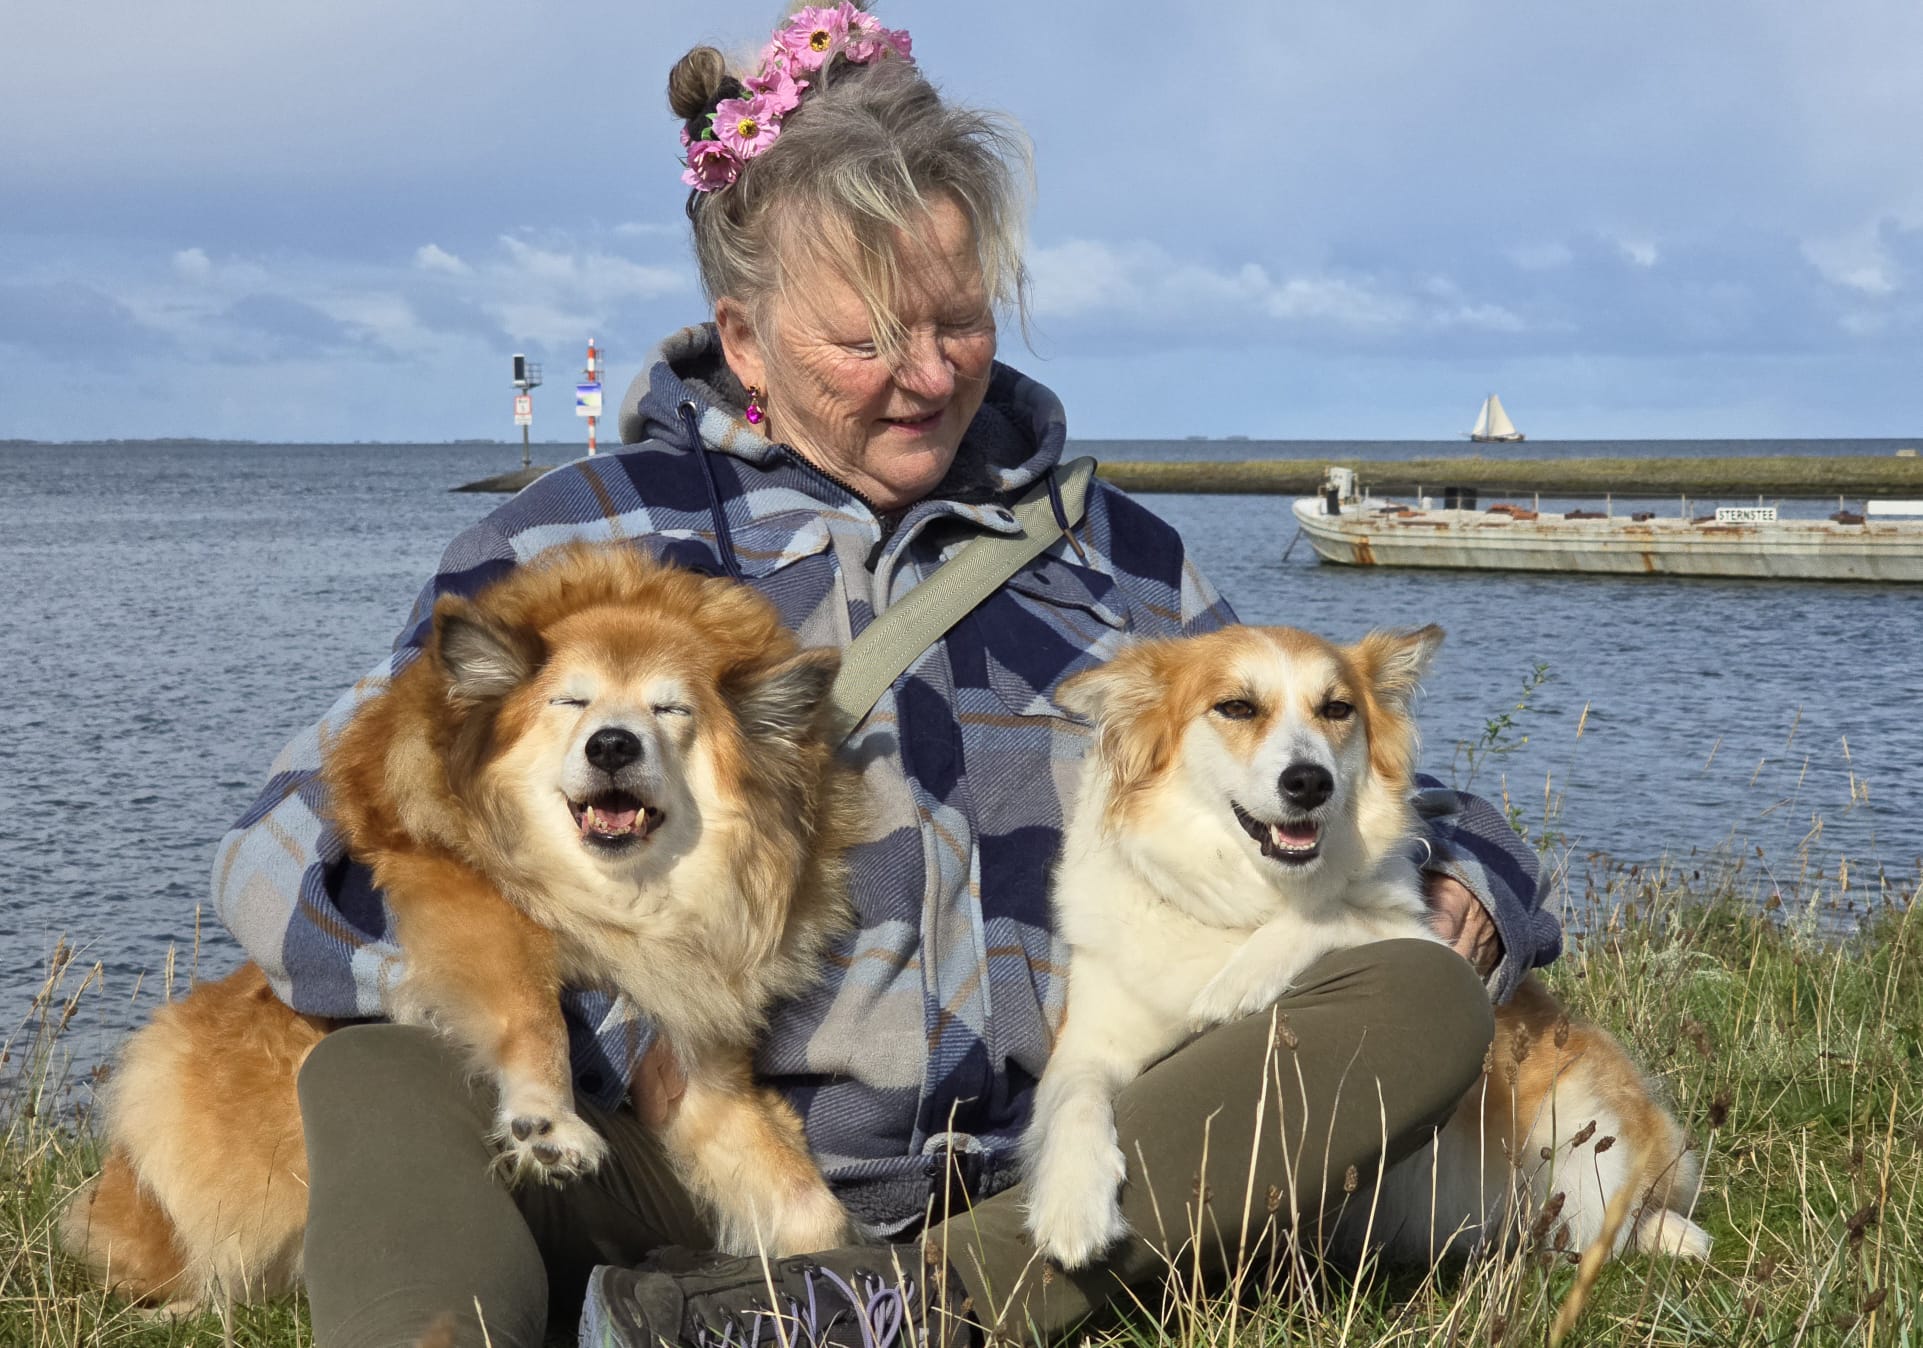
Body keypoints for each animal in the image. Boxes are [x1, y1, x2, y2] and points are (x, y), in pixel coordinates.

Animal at [62, 542, 857, 1307]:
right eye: (572, 700)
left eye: (671, 711)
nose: (611, 744)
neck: (616, 899)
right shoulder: (466, 906)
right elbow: (532, 1012)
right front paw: (546, 1118)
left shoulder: (700, 1063)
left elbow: (796, 1190)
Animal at [1030, 619, 1707, 1269]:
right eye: (1236, 707)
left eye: (1336, 709)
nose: (1309, 782)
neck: (1246, 901)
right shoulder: (1089, 1042)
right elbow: (1072, 1100)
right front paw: (1072, 1204)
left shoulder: (1423, 937)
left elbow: (1338, 911)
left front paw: (1241, 980)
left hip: (1590, 1141)